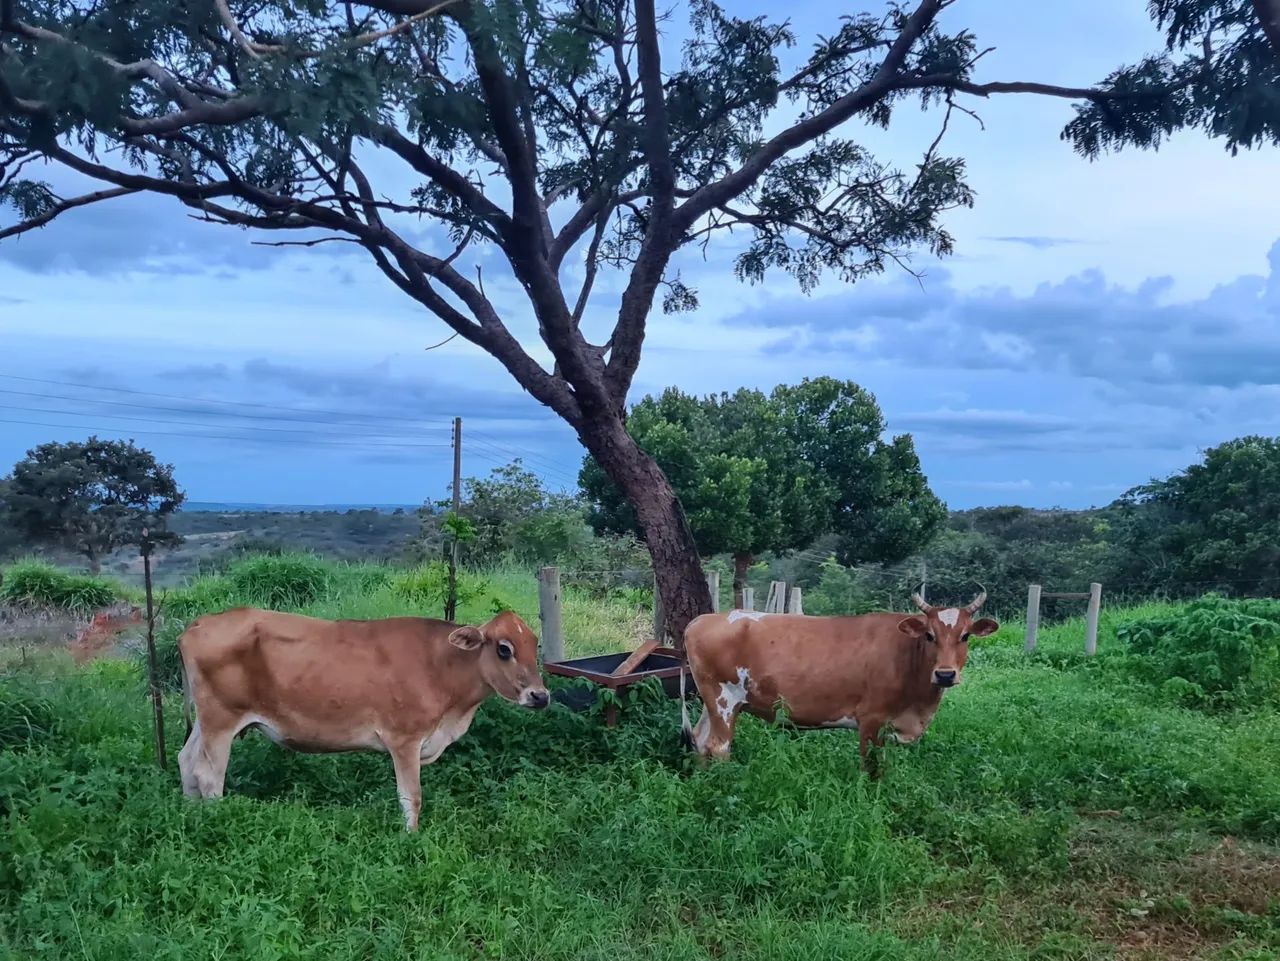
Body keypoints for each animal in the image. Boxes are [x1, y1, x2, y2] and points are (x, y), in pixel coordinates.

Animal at [177, 607, 550, 831]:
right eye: (504, 648)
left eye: (535, 645)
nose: (541, 696)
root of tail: (197, 624)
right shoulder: (404, 739)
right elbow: (411, 797)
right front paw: (411, 838)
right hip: (221, 719)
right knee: (208, 775)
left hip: (205, 721)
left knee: (186, 760)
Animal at [679, 587, 997, 773]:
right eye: (930, 635)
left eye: (965, 636)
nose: (945, 673)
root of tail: (703, 619)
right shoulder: (871, 720)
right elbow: (871, 767)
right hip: (723, 700)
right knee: (719, 746)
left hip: (713, 703)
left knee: (701, 741)